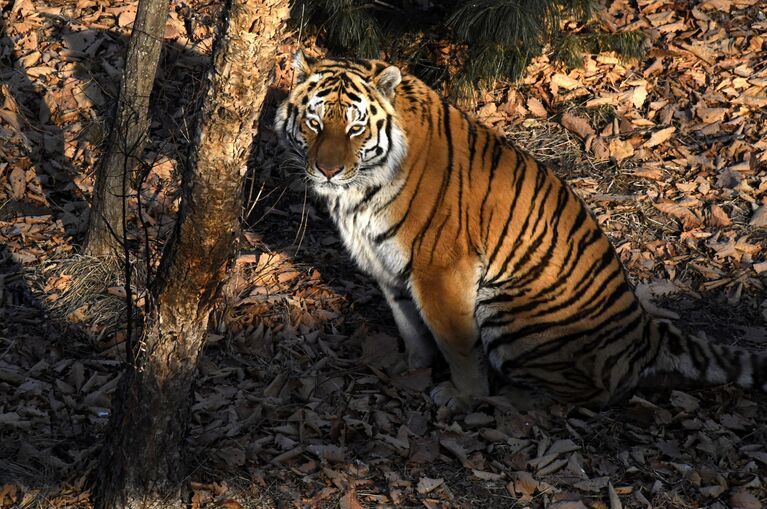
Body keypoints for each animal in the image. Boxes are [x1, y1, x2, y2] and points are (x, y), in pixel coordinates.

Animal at [276, 52, 767, 408]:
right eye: (315, 122)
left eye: (356, 128)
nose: (327, 170)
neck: (358, 192)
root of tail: (643, 333)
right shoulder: (387, 266)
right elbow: (410, 326)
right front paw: (412, 369)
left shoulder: (440, 269)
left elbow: (455, 342)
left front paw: (463, 396)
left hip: (507, 310)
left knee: (594, 394)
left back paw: (506, 401)